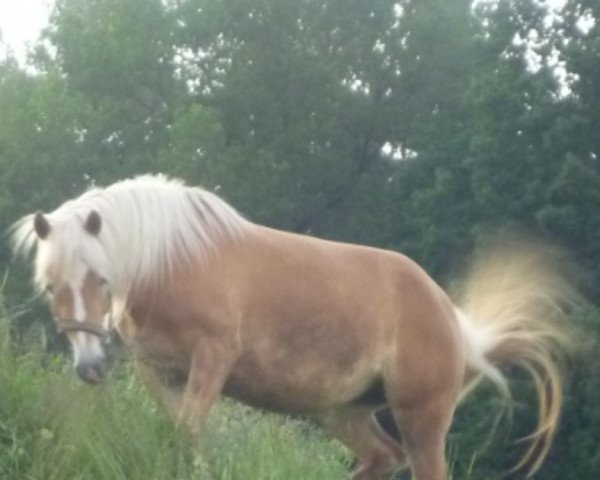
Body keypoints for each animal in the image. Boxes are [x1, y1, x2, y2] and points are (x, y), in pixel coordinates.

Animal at [11, 173, 580, 480]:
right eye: (49, 285)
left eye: (99, 278)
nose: (89, 366)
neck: (172, 261)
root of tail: (452, 318)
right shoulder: (160, 371)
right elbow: (177, 433)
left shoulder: (212, 359)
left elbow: (190, 430)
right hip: (342, 412)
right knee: (381, 457)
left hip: (422, 416)